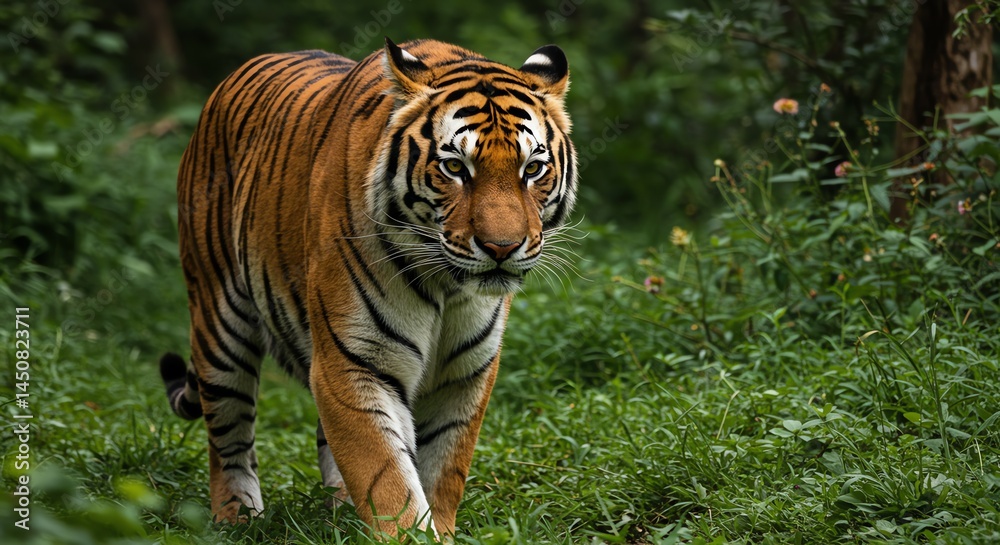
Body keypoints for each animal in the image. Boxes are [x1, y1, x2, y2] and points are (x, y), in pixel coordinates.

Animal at [158, 38, 578, 538]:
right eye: (455, 167)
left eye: (532, 169)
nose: (502, 247)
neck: (448, 287)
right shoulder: (353, 363)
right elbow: (387, 478)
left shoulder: (465, 373)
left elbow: (441, 473)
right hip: (219, 323)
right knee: (228, 440)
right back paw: (237, 519)